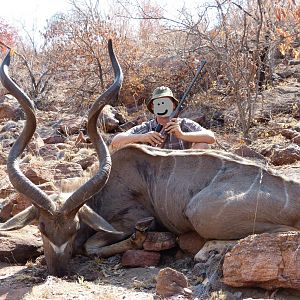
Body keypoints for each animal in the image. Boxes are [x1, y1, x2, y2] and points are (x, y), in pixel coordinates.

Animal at [1, 41, 300, 276]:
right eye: (42, 227)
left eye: (74, 228)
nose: (59, 271)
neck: (104, 191)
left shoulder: (133, 218)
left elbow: (92, 246)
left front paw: (138, 241)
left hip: (199, 213)